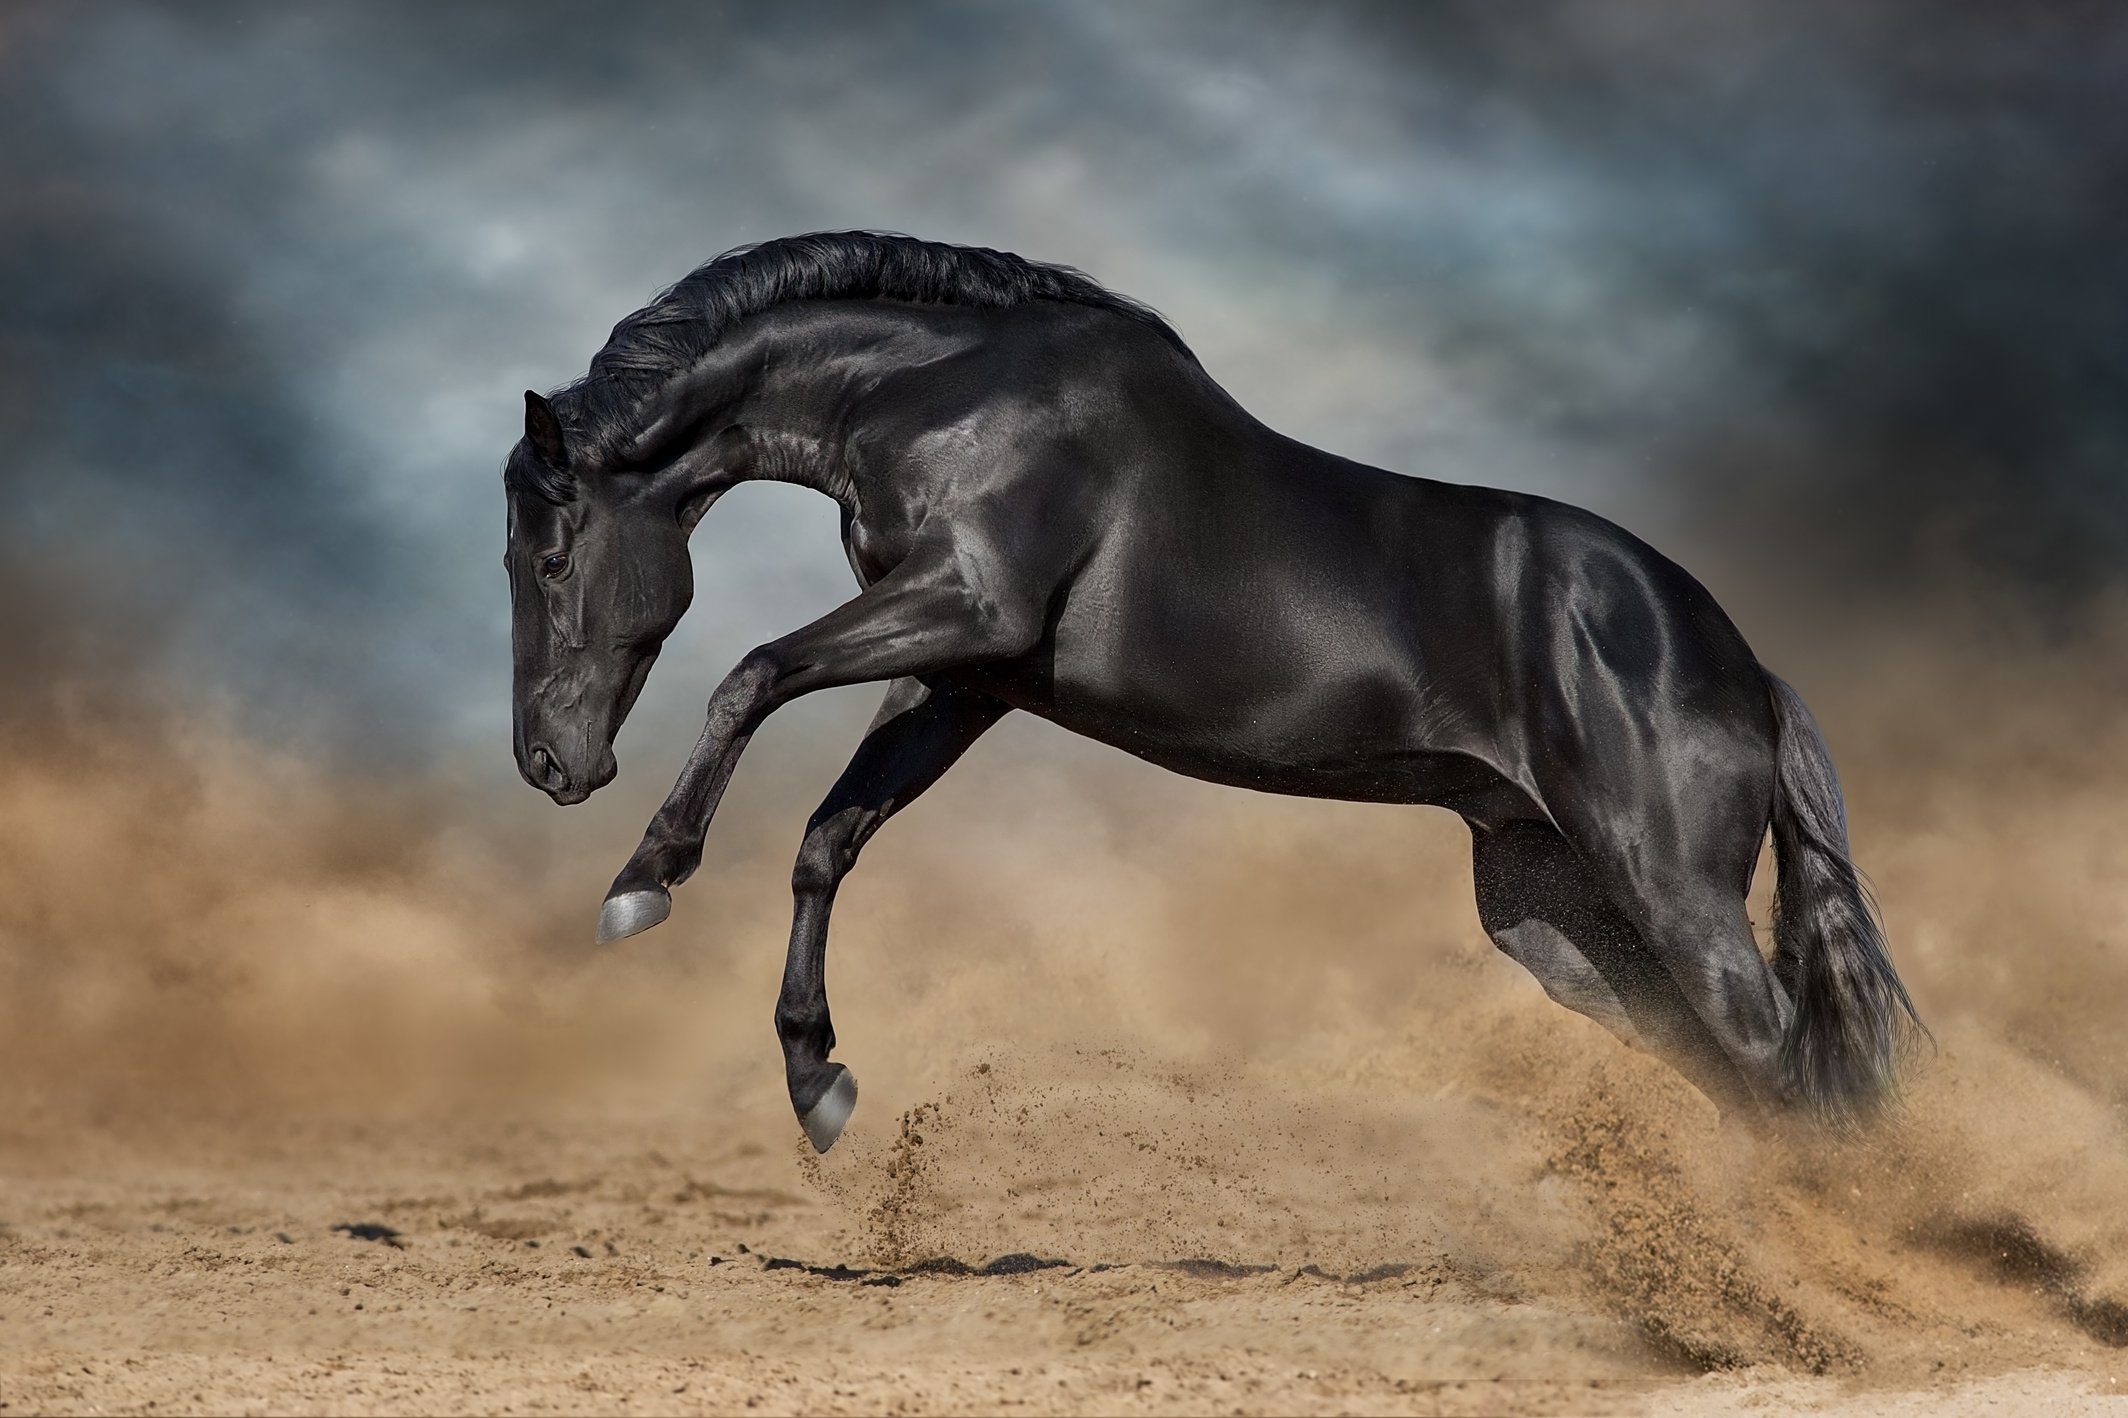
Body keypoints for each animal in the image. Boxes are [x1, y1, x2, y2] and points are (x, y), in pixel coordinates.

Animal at [506, 228, 1923, 1149]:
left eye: (550, 551)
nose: (550, 765)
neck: (941, 389)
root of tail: (1738, 663)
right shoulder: (963, 673)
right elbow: (828, 835)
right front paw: (818, 1082)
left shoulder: (966, 603)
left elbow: (748, 674)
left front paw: (642, 878)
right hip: (1559, 919)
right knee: (1748, 1079)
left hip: (1671, 891)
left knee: (1784, 1060)